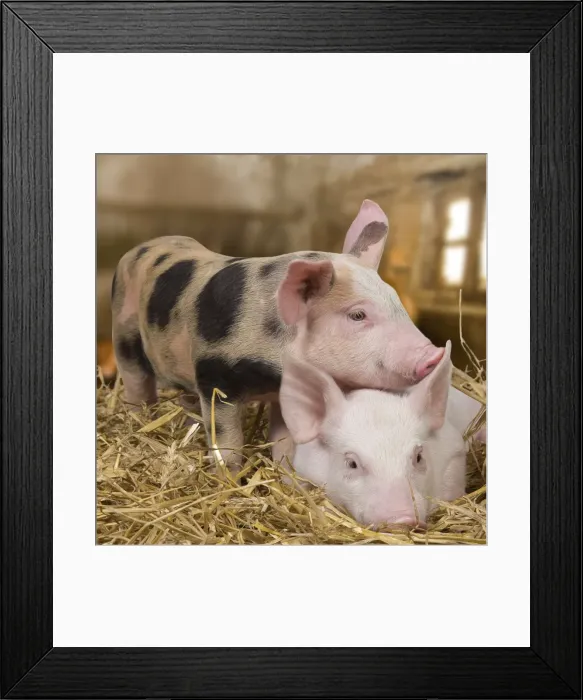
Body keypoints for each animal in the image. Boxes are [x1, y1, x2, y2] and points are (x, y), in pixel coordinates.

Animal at [111, 199, 445, 471]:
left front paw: (287, 474)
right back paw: (139, 418)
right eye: (358, 315)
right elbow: (228, 442)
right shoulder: (214, 375)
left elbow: (286, 442)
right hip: (123, 331)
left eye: (396, 299)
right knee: (136, 380)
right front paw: (229, 478)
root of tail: (140, 247)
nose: (435, 355)